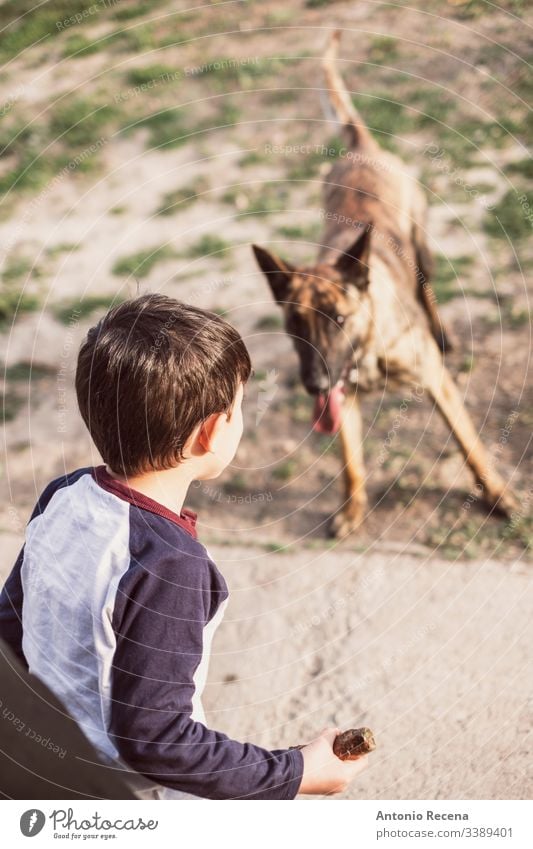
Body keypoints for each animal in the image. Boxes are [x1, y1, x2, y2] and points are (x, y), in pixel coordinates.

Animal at [251, 31, 516, 536]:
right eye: (294, 324)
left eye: (338, 319)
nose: (314, 384)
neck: (369, 348)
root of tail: (361, 145)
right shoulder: (343, 400)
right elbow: (351, 462)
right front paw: (353, 509)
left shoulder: (437, 383)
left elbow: (469, 445)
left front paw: (497, 495)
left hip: (422, 246)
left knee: (427, 288)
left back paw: (443, 332)